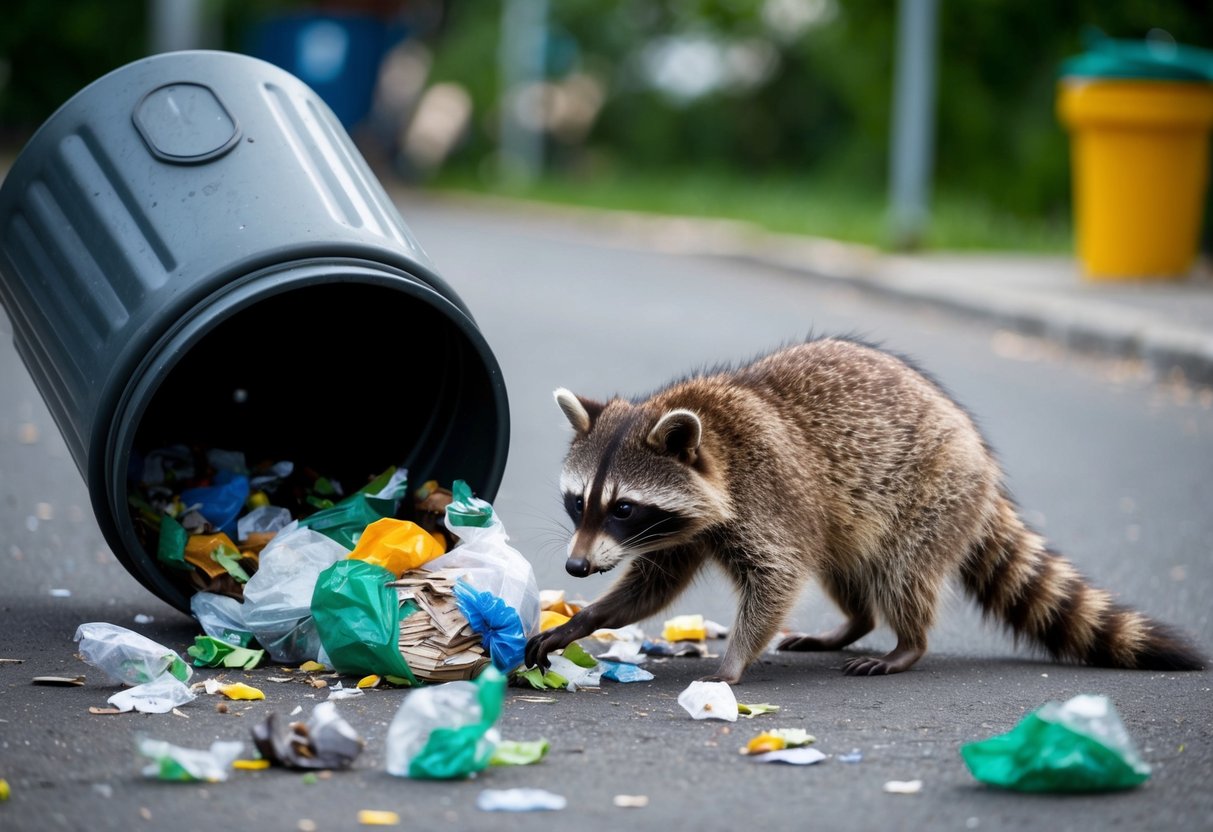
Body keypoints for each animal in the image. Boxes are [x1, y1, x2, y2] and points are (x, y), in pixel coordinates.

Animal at [523, 337, 1204, 683]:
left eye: (623, 508)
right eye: (579, 502)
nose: (575, 569)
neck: (711, 439)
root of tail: (983, 464)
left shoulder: (766, 497)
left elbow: (777, 577)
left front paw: (734, 660)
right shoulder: (688, 525)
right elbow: (654, 588)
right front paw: (584, 620)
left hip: (931, 494)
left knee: (902, 574)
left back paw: (907, 642)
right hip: (854, 519)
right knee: (847, 570)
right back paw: (851, 622)